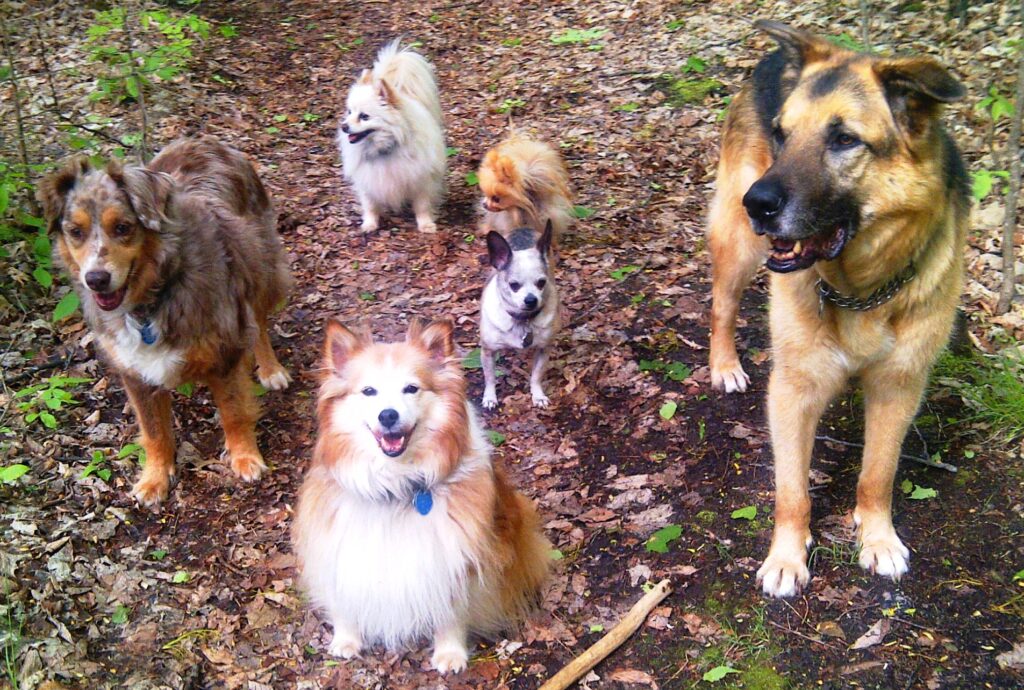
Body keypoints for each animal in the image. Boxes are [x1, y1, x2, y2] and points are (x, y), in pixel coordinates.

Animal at [36, 137, 290, 507]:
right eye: (75, 232)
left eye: (123, 228)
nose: (96, 279)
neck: (153, 297)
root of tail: (204, 139)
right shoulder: (134, 371)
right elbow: (154, 431)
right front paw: (154, 478)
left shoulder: (225, 348)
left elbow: (234, 412)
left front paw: (245, 457)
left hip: (259, 267)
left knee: (259, 323)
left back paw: (271, 369)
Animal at [292, 317, 552, 671]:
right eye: (368, 391)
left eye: (411, 388)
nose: (388, 415)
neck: (396, 486)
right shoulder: (338, 545)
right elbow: (344, 594)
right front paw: (346, 638)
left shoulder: (454, 558)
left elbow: (450, 612)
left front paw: (450, 653)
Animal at [337, 40, 446, 233]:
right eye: (349, 112)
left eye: (364, 116)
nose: (344, 126)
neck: (385, 147)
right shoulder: (368, 180)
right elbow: (370, 205)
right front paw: (370, 224)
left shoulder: (421, 179)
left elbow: (422, 205)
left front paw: (425, 224)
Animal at [708, 18, 962, 593]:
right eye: (782, 134)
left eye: (845, 139)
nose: (757, 205)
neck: (862, 286)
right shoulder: (791, 392)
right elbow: (792, 491)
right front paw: (786, 557)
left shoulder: (899, 386)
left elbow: (878, 473)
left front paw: (878, 538)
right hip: (739, 249)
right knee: (721, 306)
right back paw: (724, 364)